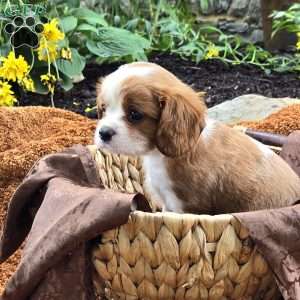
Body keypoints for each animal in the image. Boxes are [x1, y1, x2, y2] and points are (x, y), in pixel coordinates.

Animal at [95, 62, 300, 214]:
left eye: (135, 115)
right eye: (103, 109)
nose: (103, 133)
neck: (159, 156)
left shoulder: (185, 205)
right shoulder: (167, 203)